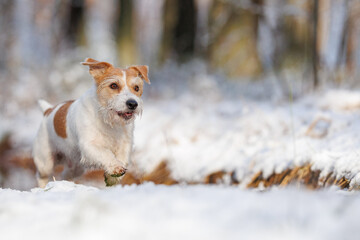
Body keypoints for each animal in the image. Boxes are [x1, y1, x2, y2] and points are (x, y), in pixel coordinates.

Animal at [31, 58, 149, 188]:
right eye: (113, 85)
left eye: (136, 88)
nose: (132, 104)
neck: (108, 119)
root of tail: (48, 110)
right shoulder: (89, 145)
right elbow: (105, 153)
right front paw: (115, 167)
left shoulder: (125, 144)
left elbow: (123, 158)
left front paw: (112, 178)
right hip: (44, 161)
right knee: (41, 176)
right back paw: (43, 187)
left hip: (76, 167)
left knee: (66, 174)